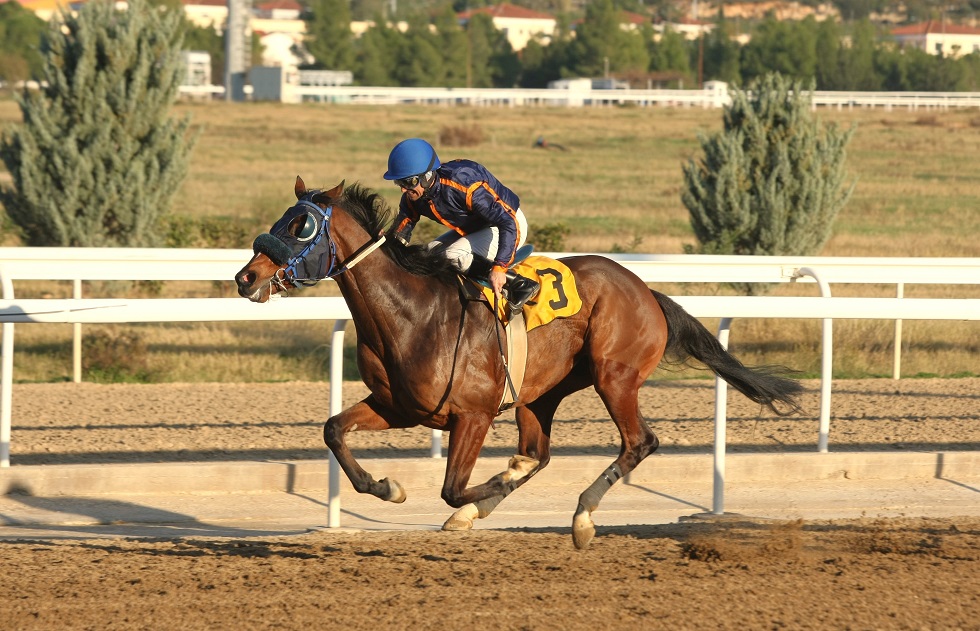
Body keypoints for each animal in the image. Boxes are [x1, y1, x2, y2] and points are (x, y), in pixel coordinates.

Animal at [237, 177, 804, 548]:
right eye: (281, 219)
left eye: (302, 226)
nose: (246, 277)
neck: (410, 312)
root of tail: (647, 291)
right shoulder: (398, 405)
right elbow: (334, 430)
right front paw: (389, 487)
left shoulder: (473, 413)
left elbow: (451, 487)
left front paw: (476, 493)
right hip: (541, 393)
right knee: (538, 453)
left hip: (614, 375)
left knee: (638, 442)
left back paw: (580, 518)